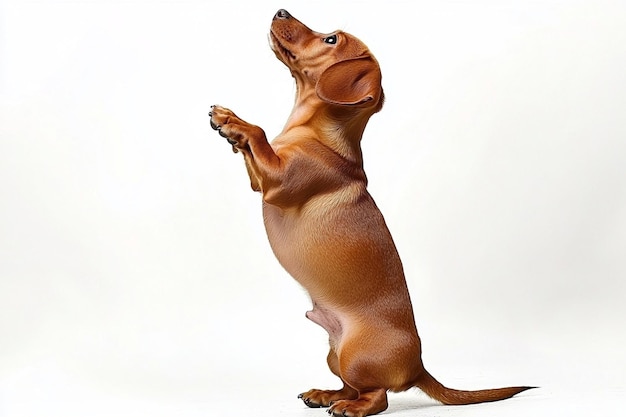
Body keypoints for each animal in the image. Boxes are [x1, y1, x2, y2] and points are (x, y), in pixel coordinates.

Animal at [210, 9, 532, 416]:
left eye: (331, 39)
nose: (280, 11)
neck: (313, 132)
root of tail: (419, 367)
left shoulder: (278, 184)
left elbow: (260, 135)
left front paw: (236, 122)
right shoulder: (261, 183)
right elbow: (252, 153)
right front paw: (228, 126)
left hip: (354, 354)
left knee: (378, 395)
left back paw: (351, 407)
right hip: (335, 356)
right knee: (350, 386)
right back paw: (326, 394)